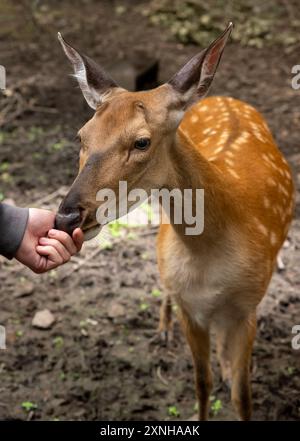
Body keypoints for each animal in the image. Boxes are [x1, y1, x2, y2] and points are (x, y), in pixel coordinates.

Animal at [55, 23, 294, 420]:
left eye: (141, 142)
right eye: (81, 136)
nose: (67, 214)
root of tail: (223, 99)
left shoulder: (249, 306)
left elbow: (242, 395)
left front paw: (230, 375)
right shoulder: (189, 308)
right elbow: (201, 384)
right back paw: (163, 329)